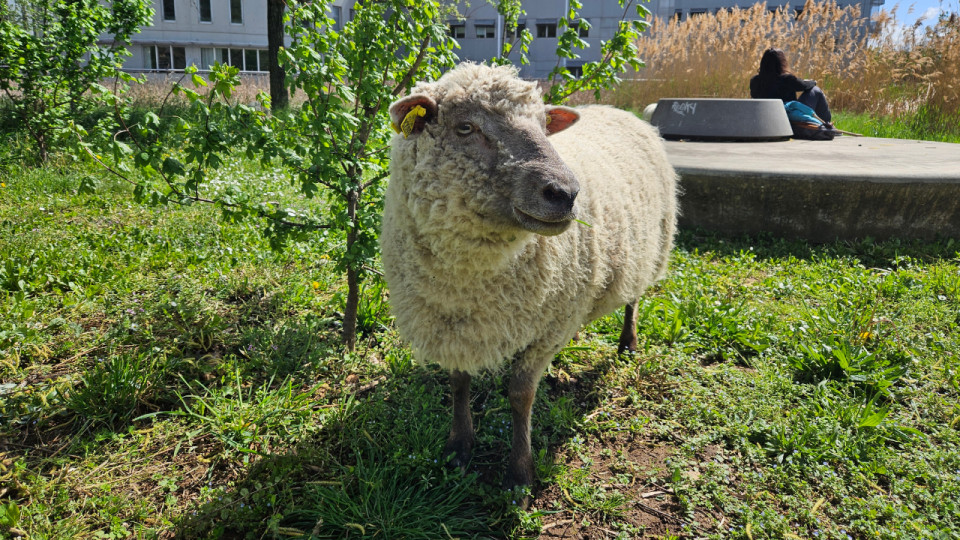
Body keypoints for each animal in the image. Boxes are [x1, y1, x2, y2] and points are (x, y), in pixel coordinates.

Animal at [381, 63, 678, 493]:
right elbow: (458, 384)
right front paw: (459, 447)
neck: (467, 279)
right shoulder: (450, 324)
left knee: (633, 299)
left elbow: (521, 396)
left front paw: (519, 476)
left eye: (543, 125)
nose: (566, 193)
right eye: (465, 127)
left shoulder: (544, 330)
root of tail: (621, 111)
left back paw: (629, 342)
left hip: (648, 250)